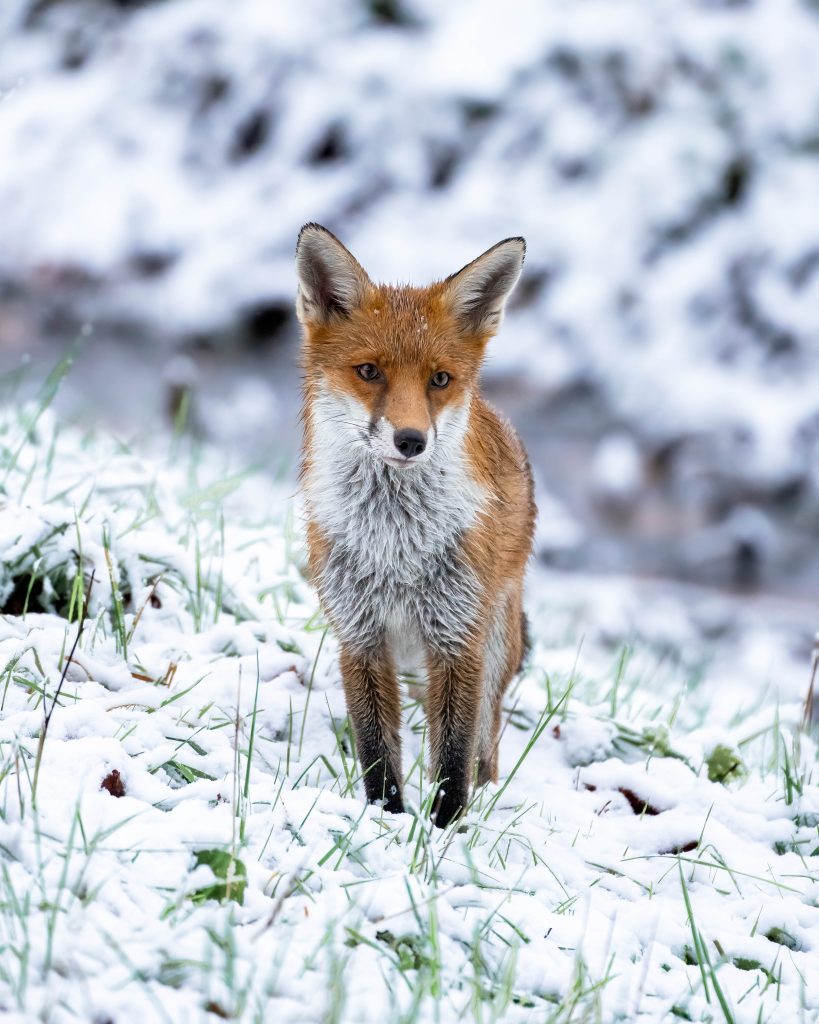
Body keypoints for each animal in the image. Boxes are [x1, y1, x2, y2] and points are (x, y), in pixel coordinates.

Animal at [296, 223, 535, 828]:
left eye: (440, 380)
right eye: (369, 371)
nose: (411, 440)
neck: (395, 549)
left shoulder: (457, 638)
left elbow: (452, 757)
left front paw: (444, 829)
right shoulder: (360, 636)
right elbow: (377, 750)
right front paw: (386, 818)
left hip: (495, 645)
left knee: (485, 746)